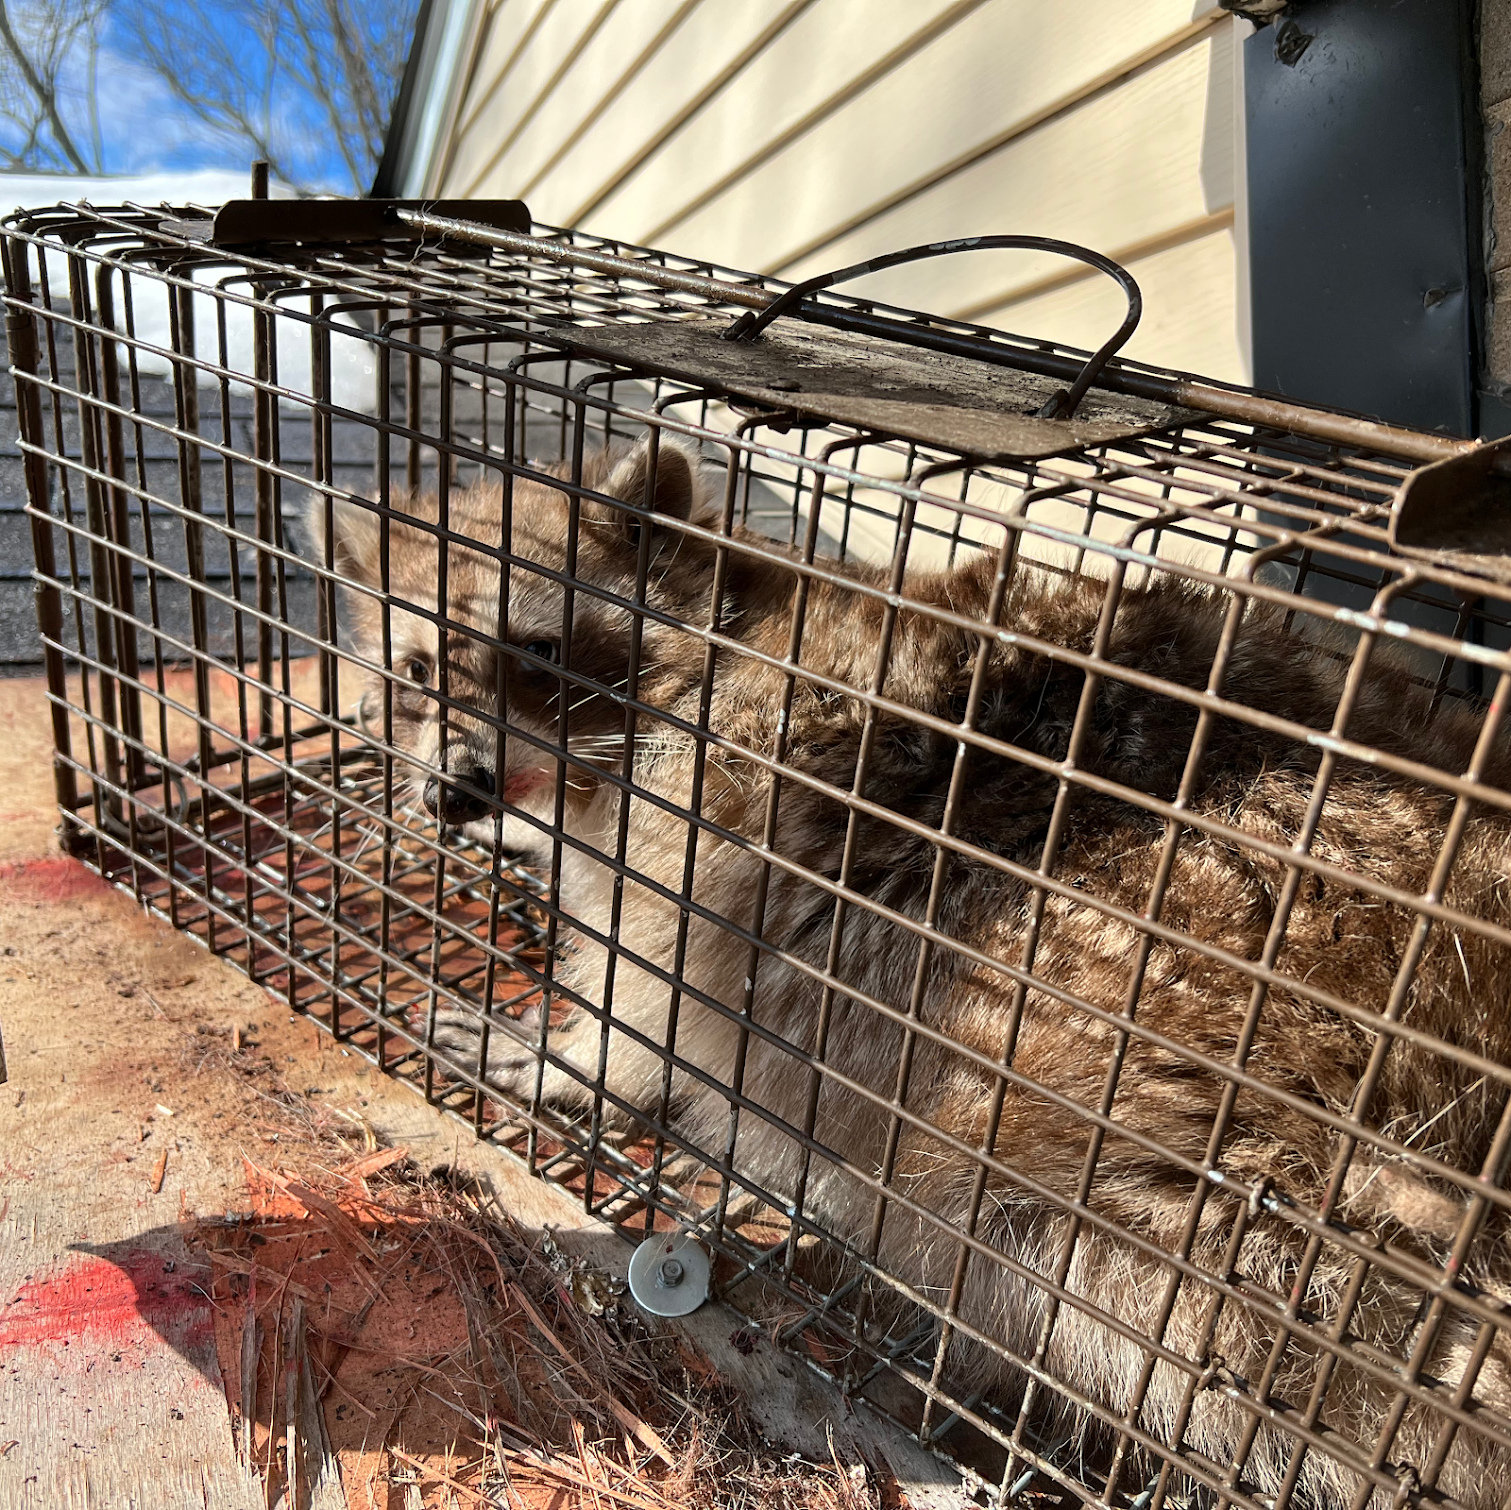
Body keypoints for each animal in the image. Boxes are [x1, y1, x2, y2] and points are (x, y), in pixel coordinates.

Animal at [309, 437, 1511, 1506]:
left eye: (541, 650)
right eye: (416, 670)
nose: (453, 792)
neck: (716, 639)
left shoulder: (701, 826)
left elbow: (660, 995)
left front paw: (575, 1055)